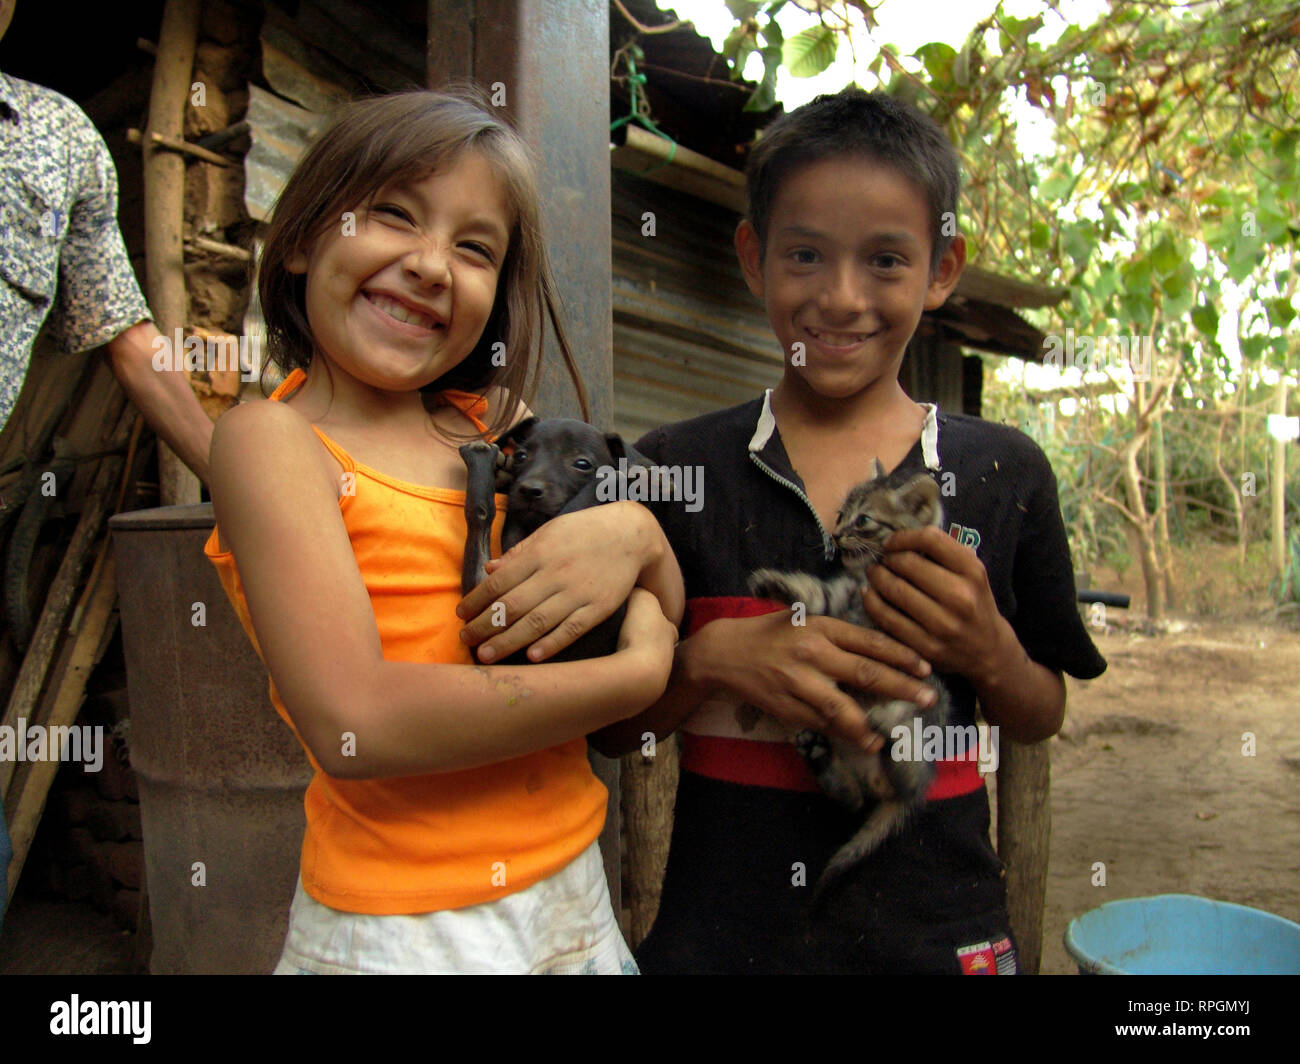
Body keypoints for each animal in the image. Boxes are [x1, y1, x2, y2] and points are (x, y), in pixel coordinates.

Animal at [748, 457, 951, 894]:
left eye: (864, 520)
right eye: (842, 515)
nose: (837, 535)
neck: (869, 578)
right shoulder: (836, 600)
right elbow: (813, 594)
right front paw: (776, 583)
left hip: (931, 703)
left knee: (910, 774)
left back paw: (891, 728)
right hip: (854, 768)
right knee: (855, 799)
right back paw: (822, 758)